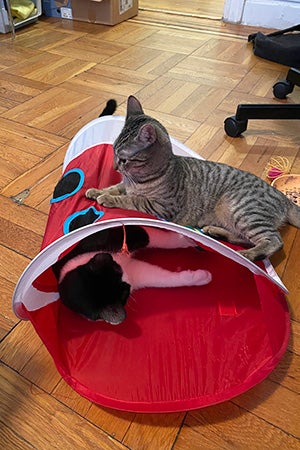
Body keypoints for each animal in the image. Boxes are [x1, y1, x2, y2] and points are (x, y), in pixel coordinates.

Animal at [86, 96, 300, 262]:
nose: (115, 166)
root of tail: (283, 197)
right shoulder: (126, 185)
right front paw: (97, 191)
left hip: (243, 210)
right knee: (244, 238)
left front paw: (108, 199)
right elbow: (114, 187)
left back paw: (248, 255)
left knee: (273, 240)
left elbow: (131, 199)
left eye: (124, 158)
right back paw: (216, 231)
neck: (138, 179)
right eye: (113, 151)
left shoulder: (161, 207)